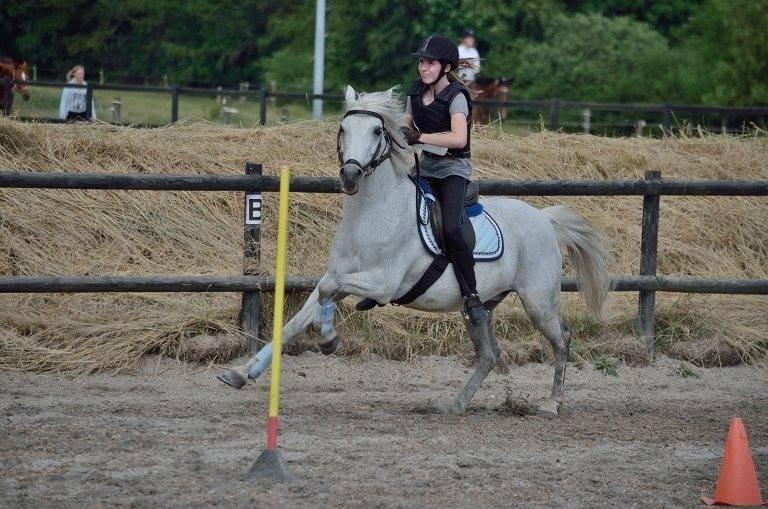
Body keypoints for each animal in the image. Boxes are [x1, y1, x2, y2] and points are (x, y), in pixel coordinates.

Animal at [218, 85, 612, 414]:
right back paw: (455, 404)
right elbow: (296, 321)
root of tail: (544, 218)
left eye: (377, 132)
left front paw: (328, 339)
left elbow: (330, 293)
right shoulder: (339, 275)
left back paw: (552, 404)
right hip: (480, 305)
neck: (371, 214)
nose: (350, 176)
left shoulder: (383, 284)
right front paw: (240, 373)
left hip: (538, 301)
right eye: (343, 129)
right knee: (489, 354)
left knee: (561, 338)